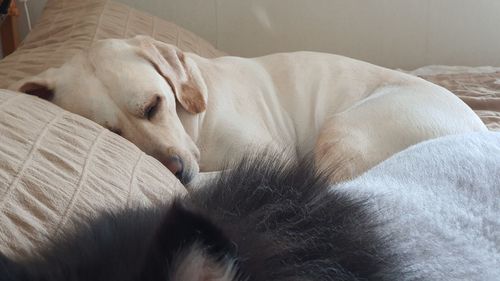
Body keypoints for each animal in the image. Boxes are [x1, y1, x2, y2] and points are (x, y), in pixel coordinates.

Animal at [12, 36, 488, 182]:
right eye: (112, 132)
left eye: (153, 105)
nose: (175, 170)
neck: (196, 123)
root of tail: (480, 130)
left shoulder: (273, 160)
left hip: (345, 128)